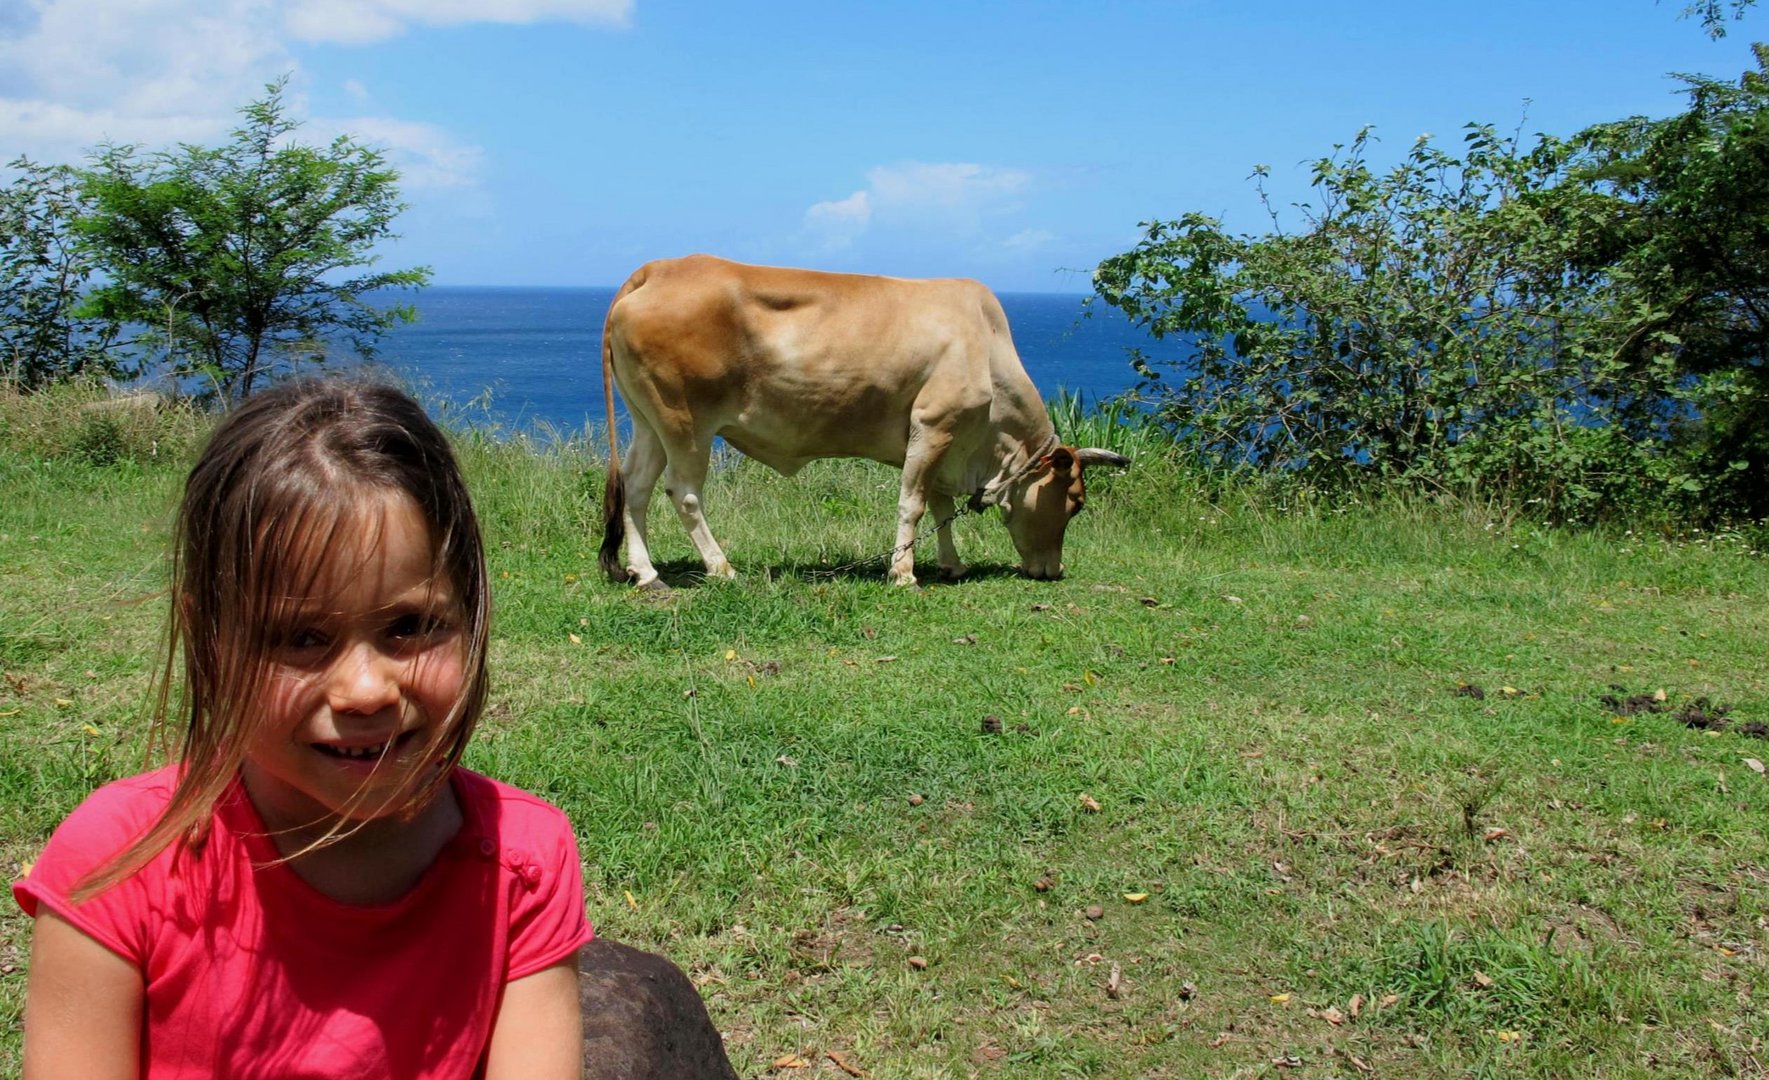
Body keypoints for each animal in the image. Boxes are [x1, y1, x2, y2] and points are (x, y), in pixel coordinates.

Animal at [601, 256, 1132, 590]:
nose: (1053, 571)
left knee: (637, 487)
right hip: (686, 422)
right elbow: (913, 504)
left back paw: (646, 573)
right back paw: (722, 568)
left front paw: (952, 565)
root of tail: (657, 270)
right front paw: (904, 573)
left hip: (649, 421)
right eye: (1076, 503)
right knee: (684, 493)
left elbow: (939, 506)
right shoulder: (934, 424)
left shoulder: (941, 441)